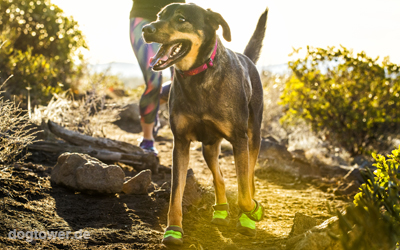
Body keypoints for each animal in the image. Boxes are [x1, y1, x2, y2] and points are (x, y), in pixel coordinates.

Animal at [142, 2, 268, 246]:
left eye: (181, 19)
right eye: (159, 15)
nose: (146, 29)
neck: (197, 76)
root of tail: (246, 57)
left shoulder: (239, 139)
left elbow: (244, 192)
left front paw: (252, 211)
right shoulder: (180, 143)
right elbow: (176, 193)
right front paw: (173, 229)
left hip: (253, 136)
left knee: (249, 179)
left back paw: (247, 217)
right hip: (209, 147)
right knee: (219, 178)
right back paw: (221, 210)